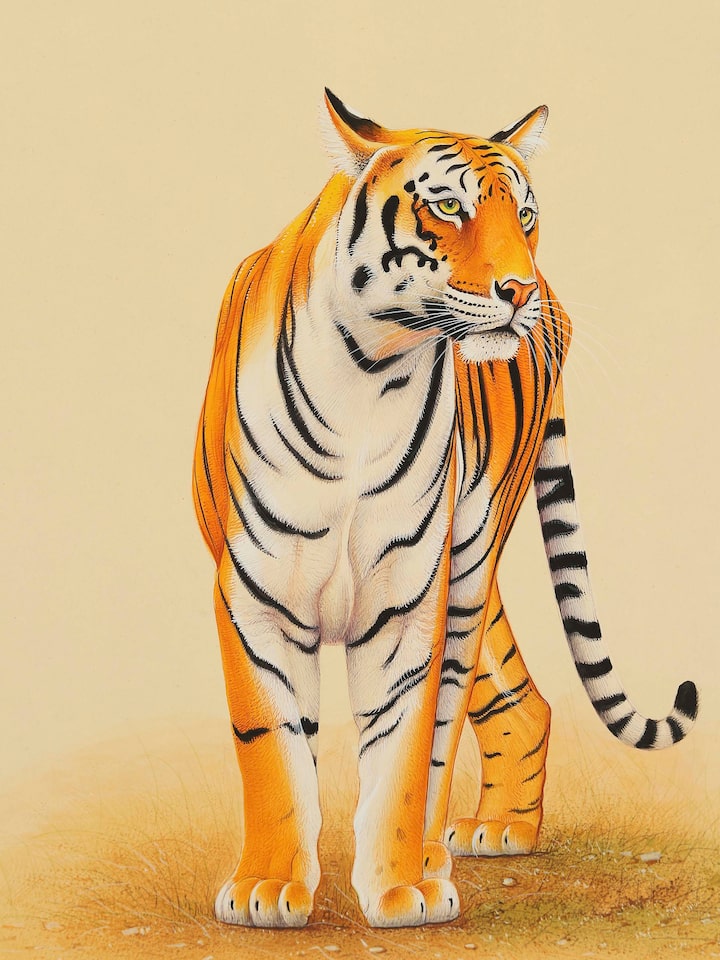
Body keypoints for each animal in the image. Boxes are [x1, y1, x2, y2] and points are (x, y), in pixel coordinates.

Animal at [192, 90, 698, 930]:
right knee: (518, 696)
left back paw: (459, 845)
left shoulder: (408, 606)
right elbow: (271, 746)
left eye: (525, 215)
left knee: (472, 705)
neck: (370, 376)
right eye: (450, 206)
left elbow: (404, 748)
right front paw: (267, 887)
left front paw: (398, 888)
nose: (519, 292)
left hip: (465, 567)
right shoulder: (255, 596)